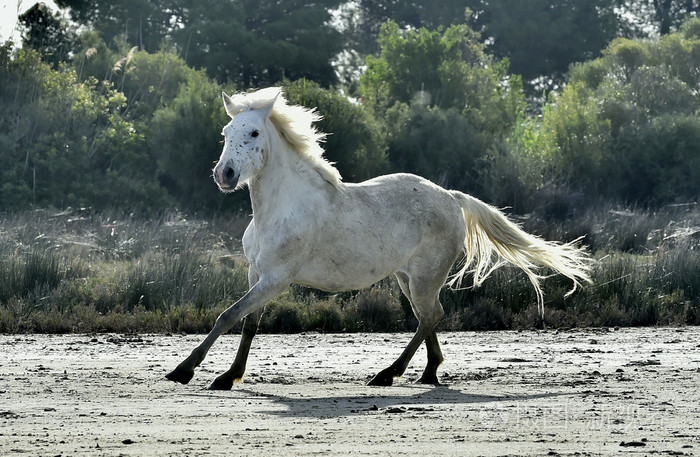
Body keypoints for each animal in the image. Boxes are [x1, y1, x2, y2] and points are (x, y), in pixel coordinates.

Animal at [166, 87, 592, 389]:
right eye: (226, 132)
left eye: (254, 132)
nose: (224, 174)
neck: (281, 207)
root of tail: (451, 197)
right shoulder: (258, 275)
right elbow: (248, 324)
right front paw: (229, 376)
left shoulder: (276, 279)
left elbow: (227, 315)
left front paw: (187, 371)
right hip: (407, 278)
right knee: (429, 317)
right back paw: (426, 373)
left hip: (424, 277)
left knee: (430, 316)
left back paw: (389, 373)